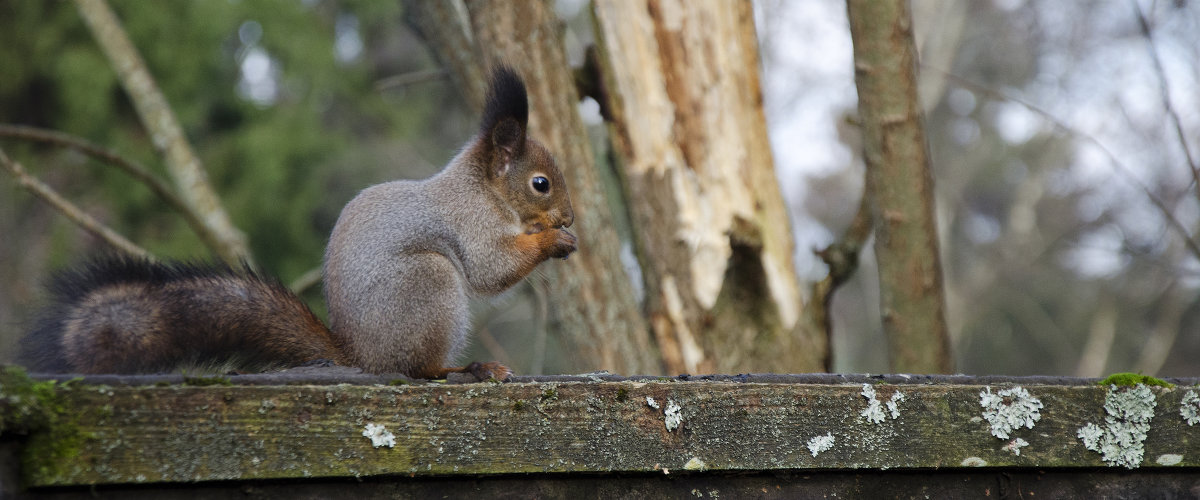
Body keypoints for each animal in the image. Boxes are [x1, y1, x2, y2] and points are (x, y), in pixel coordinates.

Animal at [17, 65, 580, 378]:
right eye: (541, 184)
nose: (571, 215)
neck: (484, 190)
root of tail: (359, 355)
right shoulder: (470, 222)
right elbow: (487, 268)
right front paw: (552, 239)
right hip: (428, 284)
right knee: (418, 369)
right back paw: (465, 368)